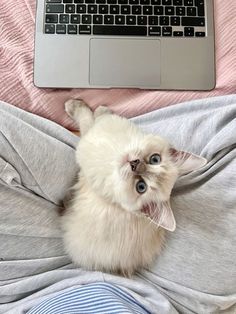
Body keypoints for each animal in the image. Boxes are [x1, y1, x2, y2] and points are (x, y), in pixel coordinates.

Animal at [61, 99, 206, 276]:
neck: (114, 153)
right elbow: (100, 117)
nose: (134, 164)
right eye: (155, 159)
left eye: (141, 187)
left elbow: (86, 119)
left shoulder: (87, 142)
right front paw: (103, 110)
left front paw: (74, 105)